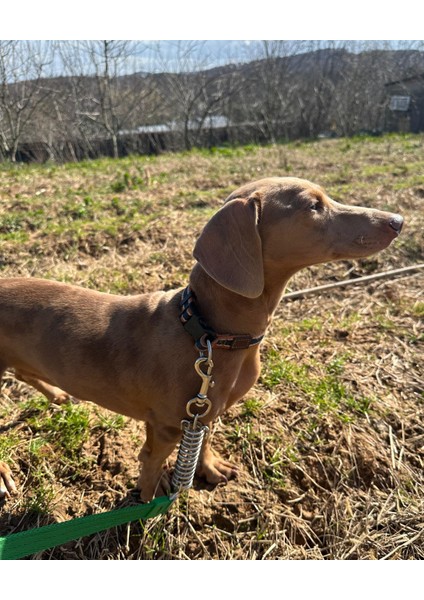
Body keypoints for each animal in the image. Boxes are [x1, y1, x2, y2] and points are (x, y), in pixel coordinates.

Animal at [0, 178, 404, 502]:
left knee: (23, 372)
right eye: (312, 205)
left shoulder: (205, 408)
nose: (398, 221)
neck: (209, 335)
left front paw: (208, 468)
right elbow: (151, 465)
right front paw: (148, 503)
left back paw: (56, 394)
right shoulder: (165, 426)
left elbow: (204, 439)